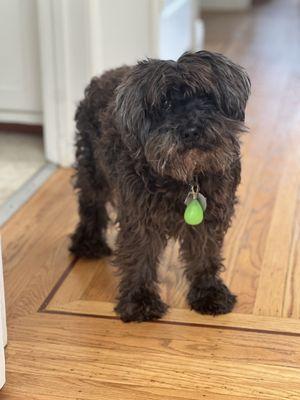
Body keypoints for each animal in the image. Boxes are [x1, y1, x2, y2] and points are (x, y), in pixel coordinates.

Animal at [69, 51, 250, 324]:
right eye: (165, 104)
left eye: (205, 96)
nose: (191, 130)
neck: (186, 178)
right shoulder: (140, 218)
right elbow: (140, 258)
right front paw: (140, 302)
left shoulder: (210, 218)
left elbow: (205, 256)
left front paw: (209, 293)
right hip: (93, 170)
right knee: (91, 205)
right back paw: (87, 243)